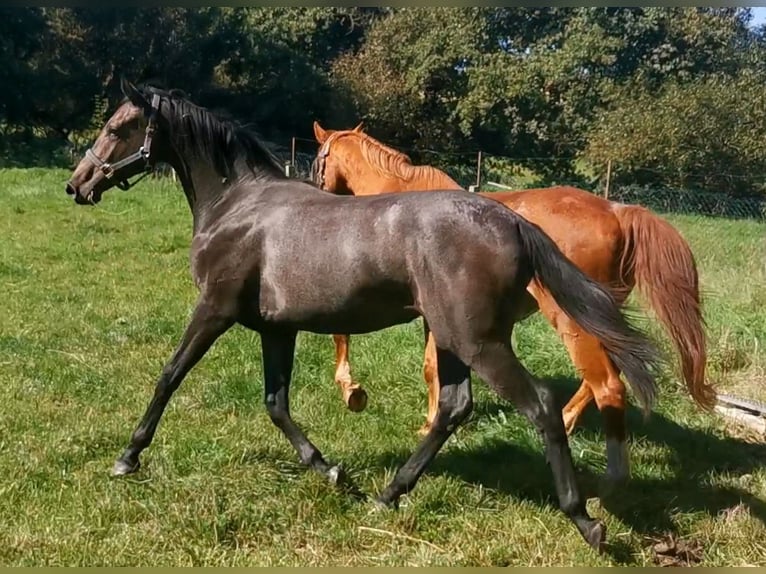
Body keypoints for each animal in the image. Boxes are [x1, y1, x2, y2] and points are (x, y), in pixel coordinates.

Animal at [65, 79, 661, 551]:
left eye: (117, 127)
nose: (77, 184)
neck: (238, 208)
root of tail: (513, 222)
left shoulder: (215, 309)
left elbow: (169, 376)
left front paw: (128, 457)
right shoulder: (276, 328)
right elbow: (276, 403)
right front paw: (331, 471)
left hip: (479, 340)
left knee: (539, 404)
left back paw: (585, 520)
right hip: (450, 337)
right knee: (453, 407)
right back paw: (387, 495)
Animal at [311, 121, 713, 481]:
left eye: (318, 158)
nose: (319, 191)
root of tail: (617, 211)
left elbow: (356, 340)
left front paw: (356, 392)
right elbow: (432, 367)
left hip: (574, 320)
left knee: (606, 382)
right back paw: (566, 423)